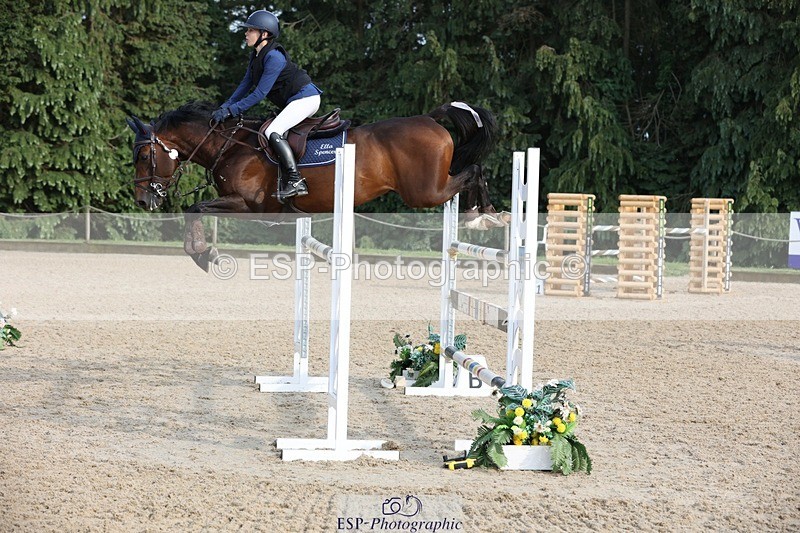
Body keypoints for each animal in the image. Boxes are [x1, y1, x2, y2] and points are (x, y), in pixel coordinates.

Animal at [127, 100, 500, 271]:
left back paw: (483, 215)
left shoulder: (249, 205)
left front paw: (205, 255)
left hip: (424, 192)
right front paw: (202, 254)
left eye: (144, 156)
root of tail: (430, 118)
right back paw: (483, 215)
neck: (230, 145)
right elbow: (195, 210)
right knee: (471, 171)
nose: (144, 200)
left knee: (473, 171)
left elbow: (195, 208)